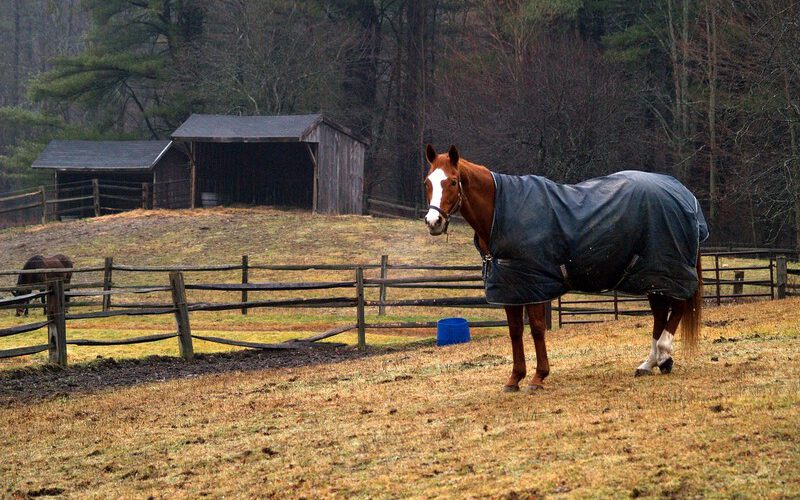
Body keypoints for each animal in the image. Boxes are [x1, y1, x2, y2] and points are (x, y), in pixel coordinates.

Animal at [422, 143, 708, 392]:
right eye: (428, 182)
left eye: (453, 181)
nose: (433, 221)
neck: (500, 215)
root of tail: (684, 195)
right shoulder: (511, 288)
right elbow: (515, 331)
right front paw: (515, 379)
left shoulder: (534, 285)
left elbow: (537, 329)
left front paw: (538, 377)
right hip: (653, 276)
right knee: (660, 314)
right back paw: (649, 363)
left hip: (667, 271)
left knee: (678, 307)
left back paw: (664, 355)